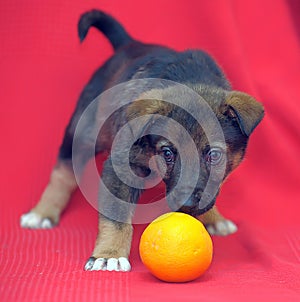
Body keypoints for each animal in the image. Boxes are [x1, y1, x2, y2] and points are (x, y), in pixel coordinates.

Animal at [20, 10, 264, 272]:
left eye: (214, 155)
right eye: (167, 153)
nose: (187, 203)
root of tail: (130, 44)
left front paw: (210, 216)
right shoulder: (120, 166)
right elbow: (115, 216)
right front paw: (109, 255)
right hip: (82, 130)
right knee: (63, 171)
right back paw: (43, 212)